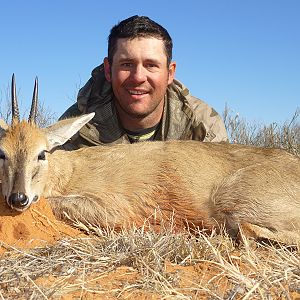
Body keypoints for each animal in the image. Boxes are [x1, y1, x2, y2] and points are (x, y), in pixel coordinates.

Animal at [0, 74, 300, 244]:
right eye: (2, 153)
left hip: (231, 202)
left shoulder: (116, 209)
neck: (69, 170)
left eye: (41, 153)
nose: (18, 198)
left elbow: (54, 203)